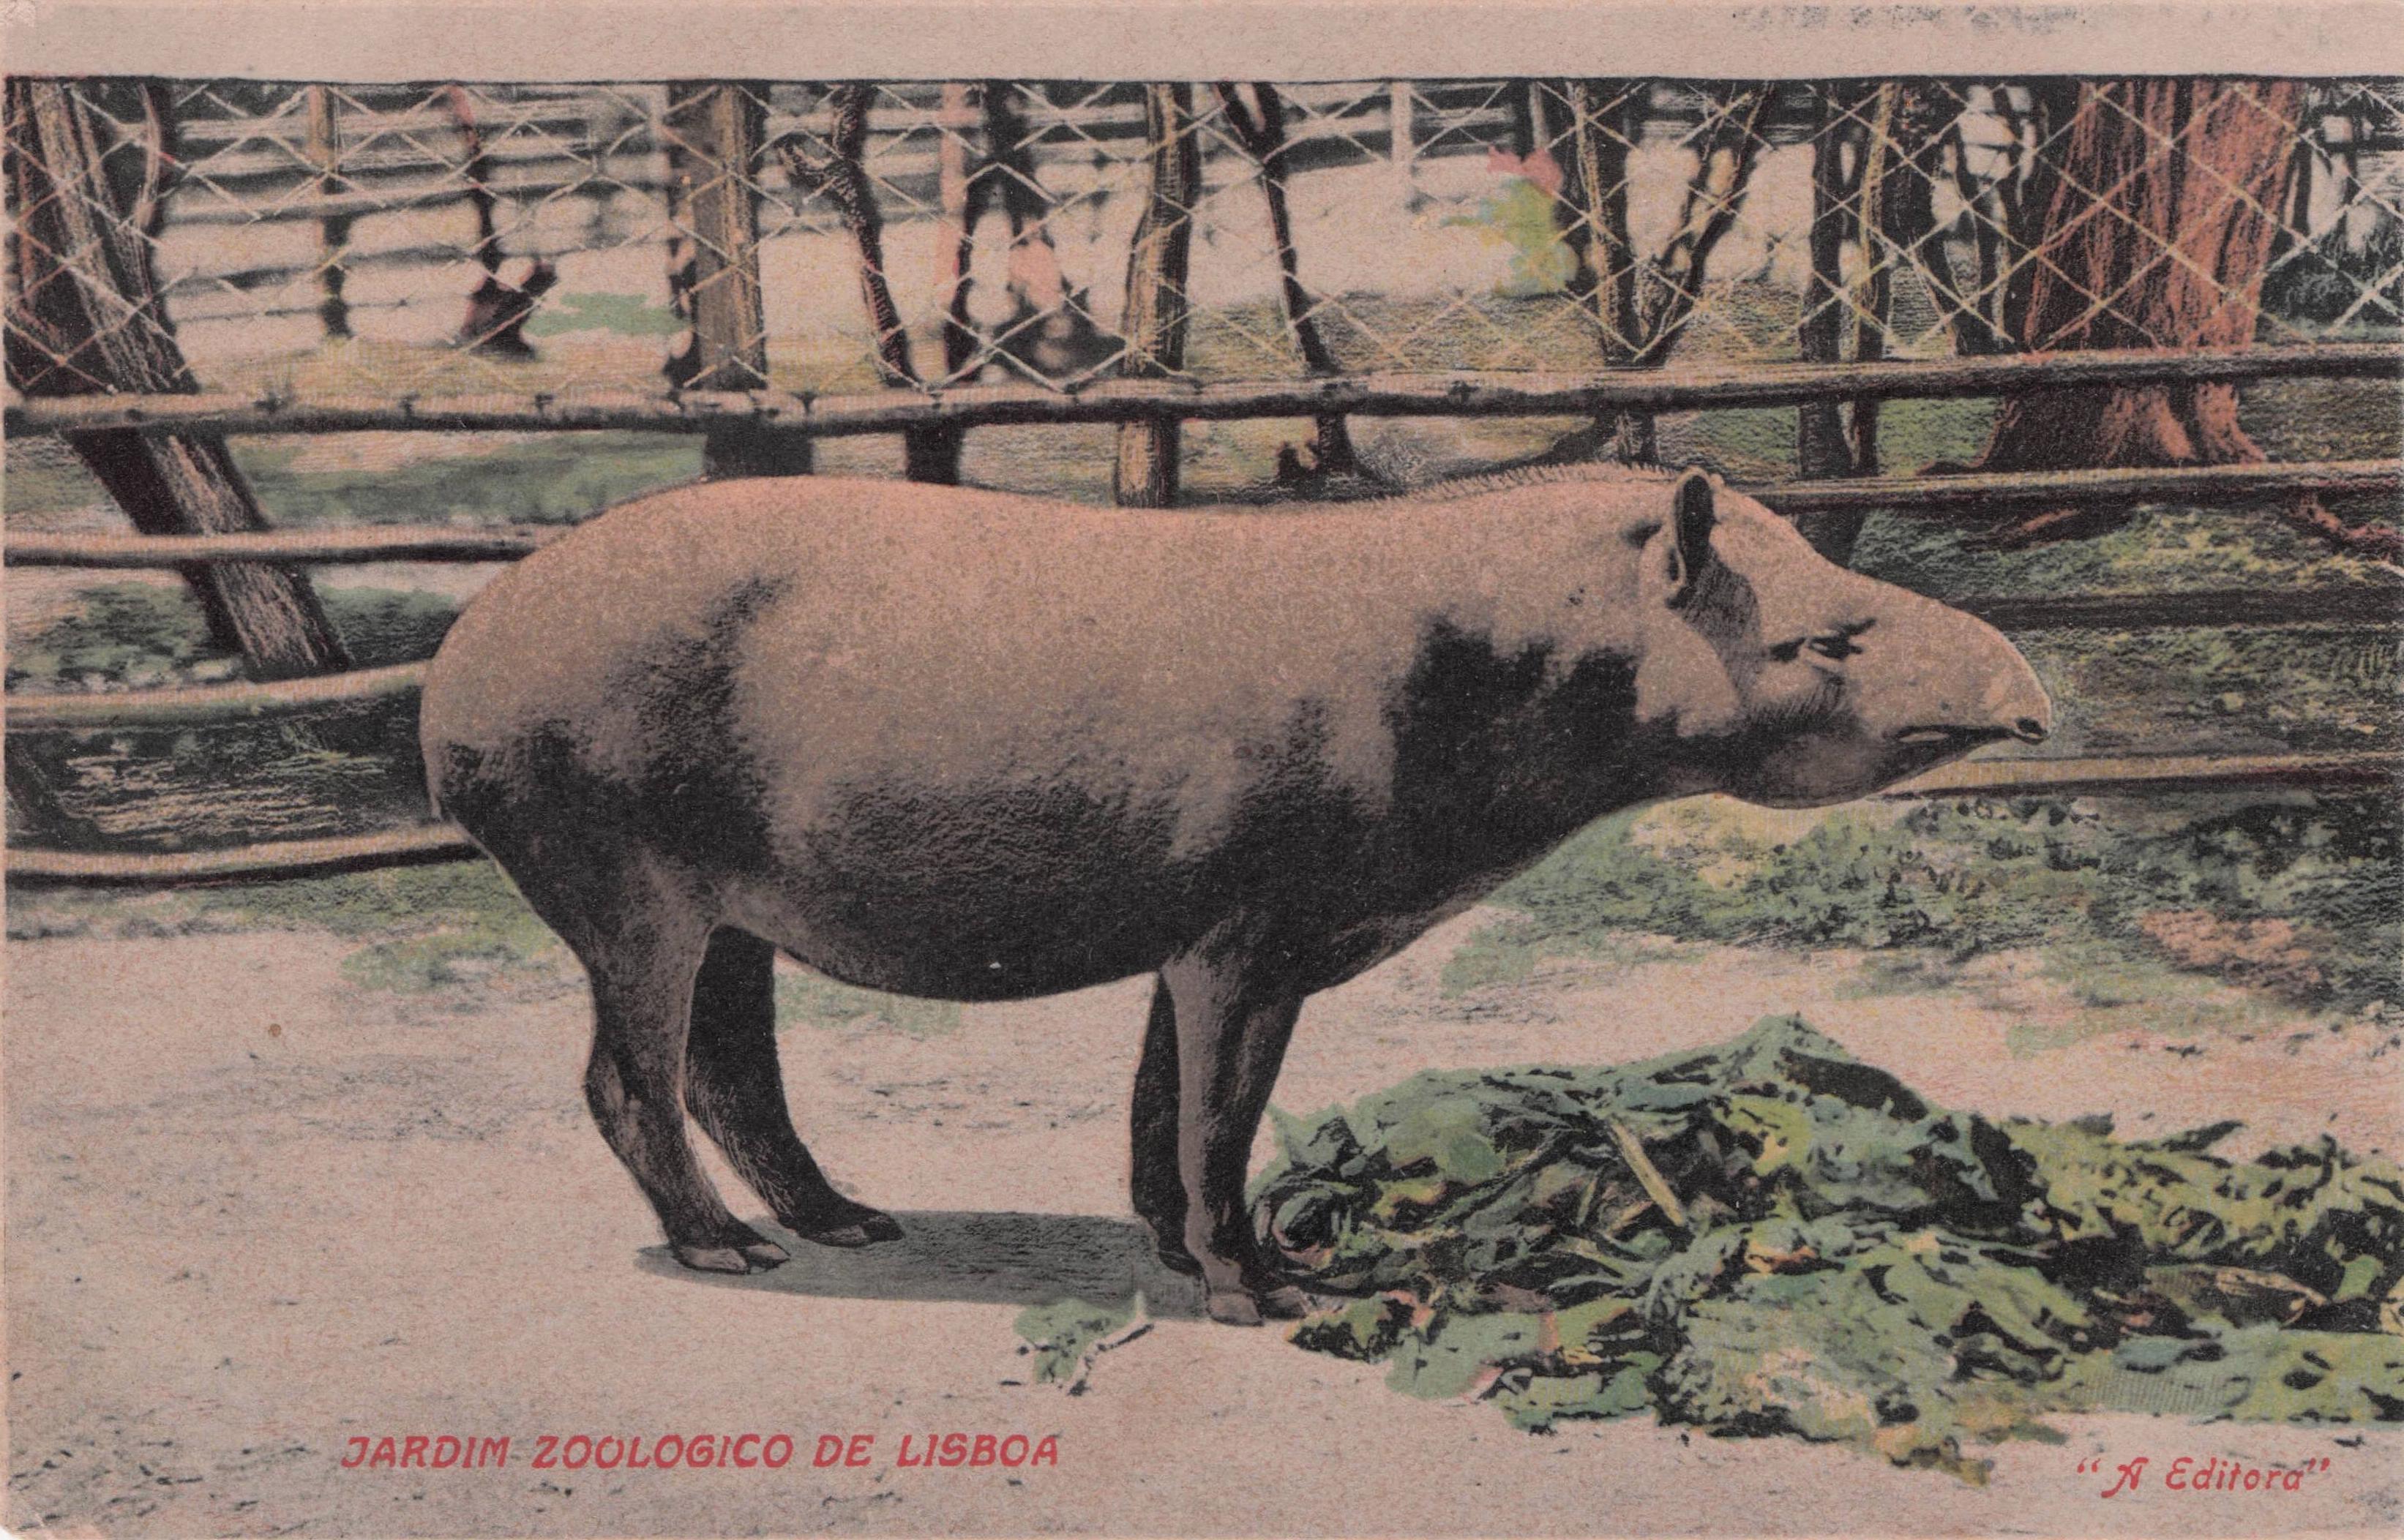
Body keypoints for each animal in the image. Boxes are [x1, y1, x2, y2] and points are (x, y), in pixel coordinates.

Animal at [419, 463, 2050, 1324]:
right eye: (1824, 638)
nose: (2032, 697)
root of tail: (454, 666)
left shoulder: (1192, 927)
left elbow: (1159, 1101)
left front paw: (1175, 1248)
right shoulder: (1257, 921)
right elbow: (1221, 1108)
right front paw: (1265, 1288)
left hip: (733, 891)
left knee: (732, 1062)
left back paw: (850, 1221)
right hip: (612, 851)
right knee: (629, 1070)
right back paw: (727, 1248)